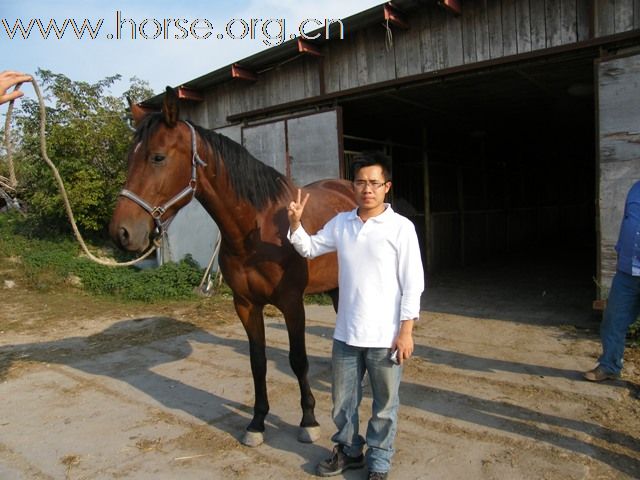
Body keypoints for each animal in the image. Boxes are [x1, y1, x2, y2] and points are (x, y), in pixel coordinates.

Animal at [111, 86, 360, 446]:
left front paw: (309, 421)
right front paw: (256, 423)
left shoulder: (291, 304)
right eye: (129, 159)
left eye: (157, 157)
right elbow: (258, 363)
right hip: (337, 286)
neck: (257, 229)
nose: (122, 232)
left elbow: (298, 360)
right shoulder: (245, 304)